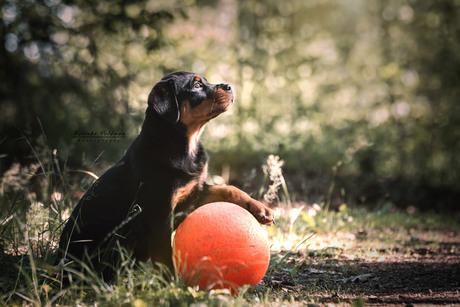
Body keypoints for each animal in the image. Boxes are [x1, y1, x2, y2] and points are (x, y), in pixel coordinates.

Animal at [57, 71, 274, 280]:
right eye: (197, 85)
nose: (228, 86)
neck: (186, 146)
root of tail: (58, 260)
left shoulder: (194, 193)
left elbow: (229, 188)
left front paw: (261, 209)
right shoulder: (160, 216)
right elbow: (165, 258)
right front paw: (173, 285)